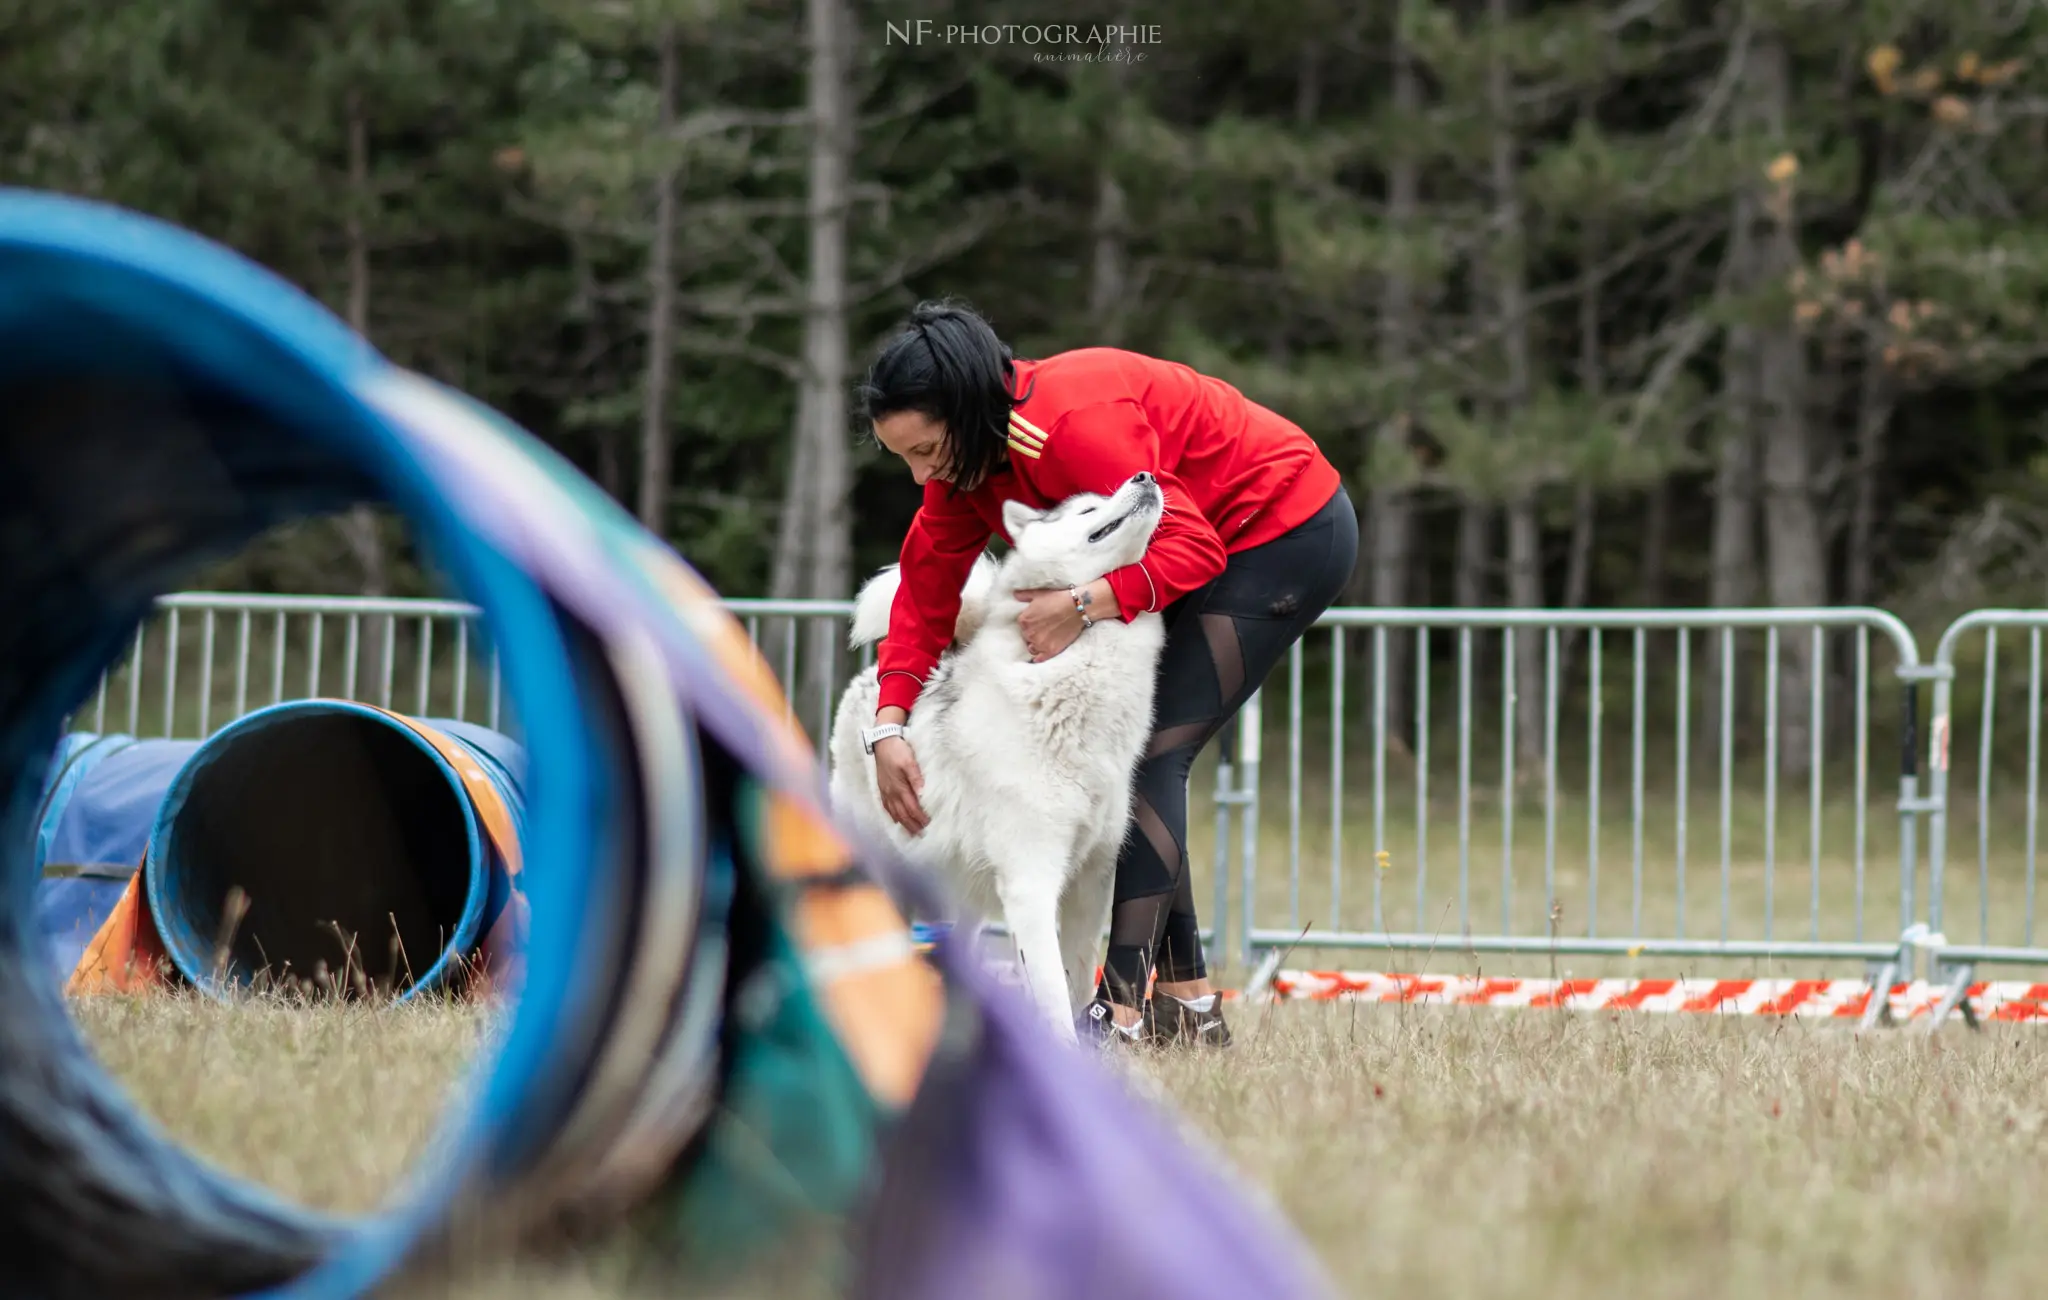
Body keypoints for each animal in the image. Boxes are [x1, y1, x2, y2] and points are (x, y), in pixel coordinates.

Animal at [819, 472, 1171, 1044]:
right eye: (1086, 509)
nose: (1145, 476)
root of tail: (868, 681)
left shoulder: (1092, 882)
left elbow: (1077, 982)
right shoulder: (1031, 882)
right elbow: (1051, 993)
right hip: (880, 880)